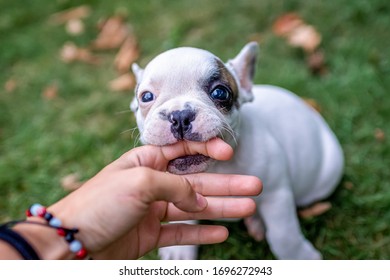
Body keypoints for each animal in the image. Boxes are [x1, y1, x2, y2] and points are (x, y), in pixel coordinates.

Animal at [129, 42, 342, 260]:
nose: (180, 116)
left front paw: (299, 256)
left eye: (220, 93)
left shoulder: (277, 194)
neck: (215, 168)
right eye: (146, 97)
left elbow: (283, 234)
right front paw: (179, 251)